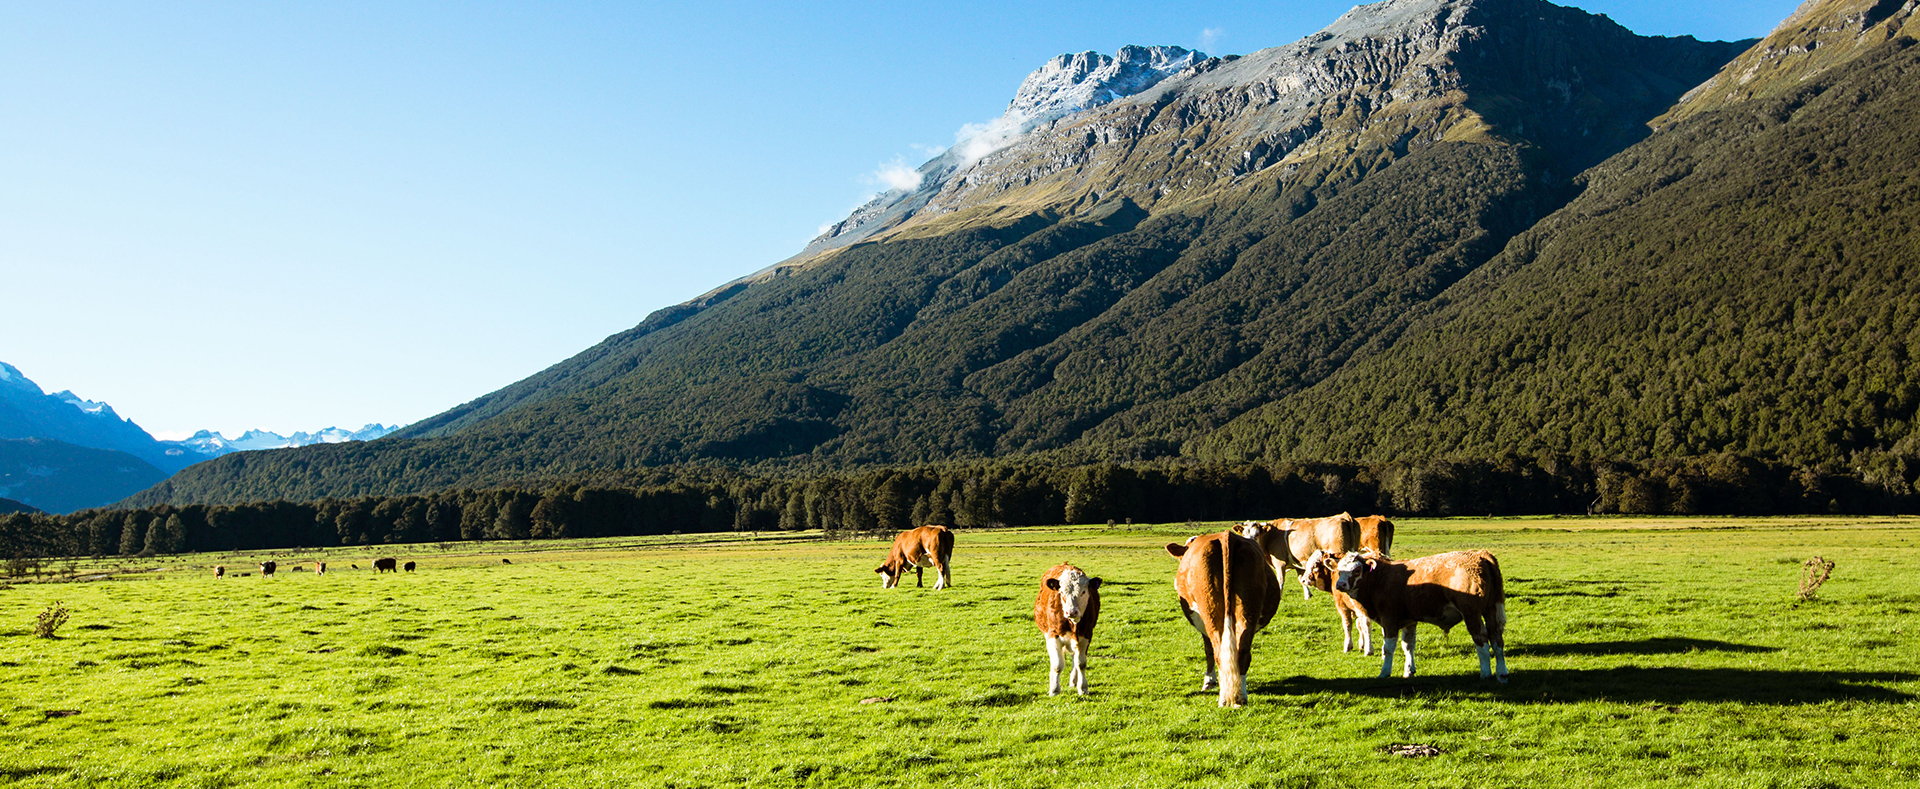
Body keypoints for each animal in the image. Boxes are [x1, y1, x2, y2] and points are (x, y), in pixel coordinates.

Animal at [1029, 560, 1105, 698]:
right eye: (1062, 592)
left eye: (1083, 592)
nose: (1071, 612)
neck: (1072, 623)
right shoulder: (1053, 636)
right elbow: (1057, 665)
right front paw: (1054, 689)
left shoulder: (1086, 635)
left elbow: (1081, 663)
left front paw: (1083, 688)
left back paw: (1074, 681)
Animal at [1159, 529, 1282, 710]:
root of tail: (1226, 537)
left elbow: (1208, 649)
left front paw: (1209, 681)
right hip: (1248, 608)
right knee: (1242, 651)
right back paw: (1240, 697)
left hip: (1210, 610)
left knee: (1218, 651)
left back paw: (1224, 698)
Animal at [1328, 549, 1505, 687]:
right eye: (1339, 570)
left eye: (1356, 570)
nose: (1340, 585)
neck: (1381, 578)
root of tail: (1480, 554)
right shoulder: (1409, 621)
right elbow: (1408, 646)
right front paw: (1409, 670)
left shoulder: (1389, 619)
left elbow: (1388, 648)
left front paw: (1385, 672)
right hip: (1491, 609)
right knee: (1496, 639)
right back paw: (1502, 674)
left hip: (1472, 613)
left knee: (1481, 640)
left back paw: (1486, 673)